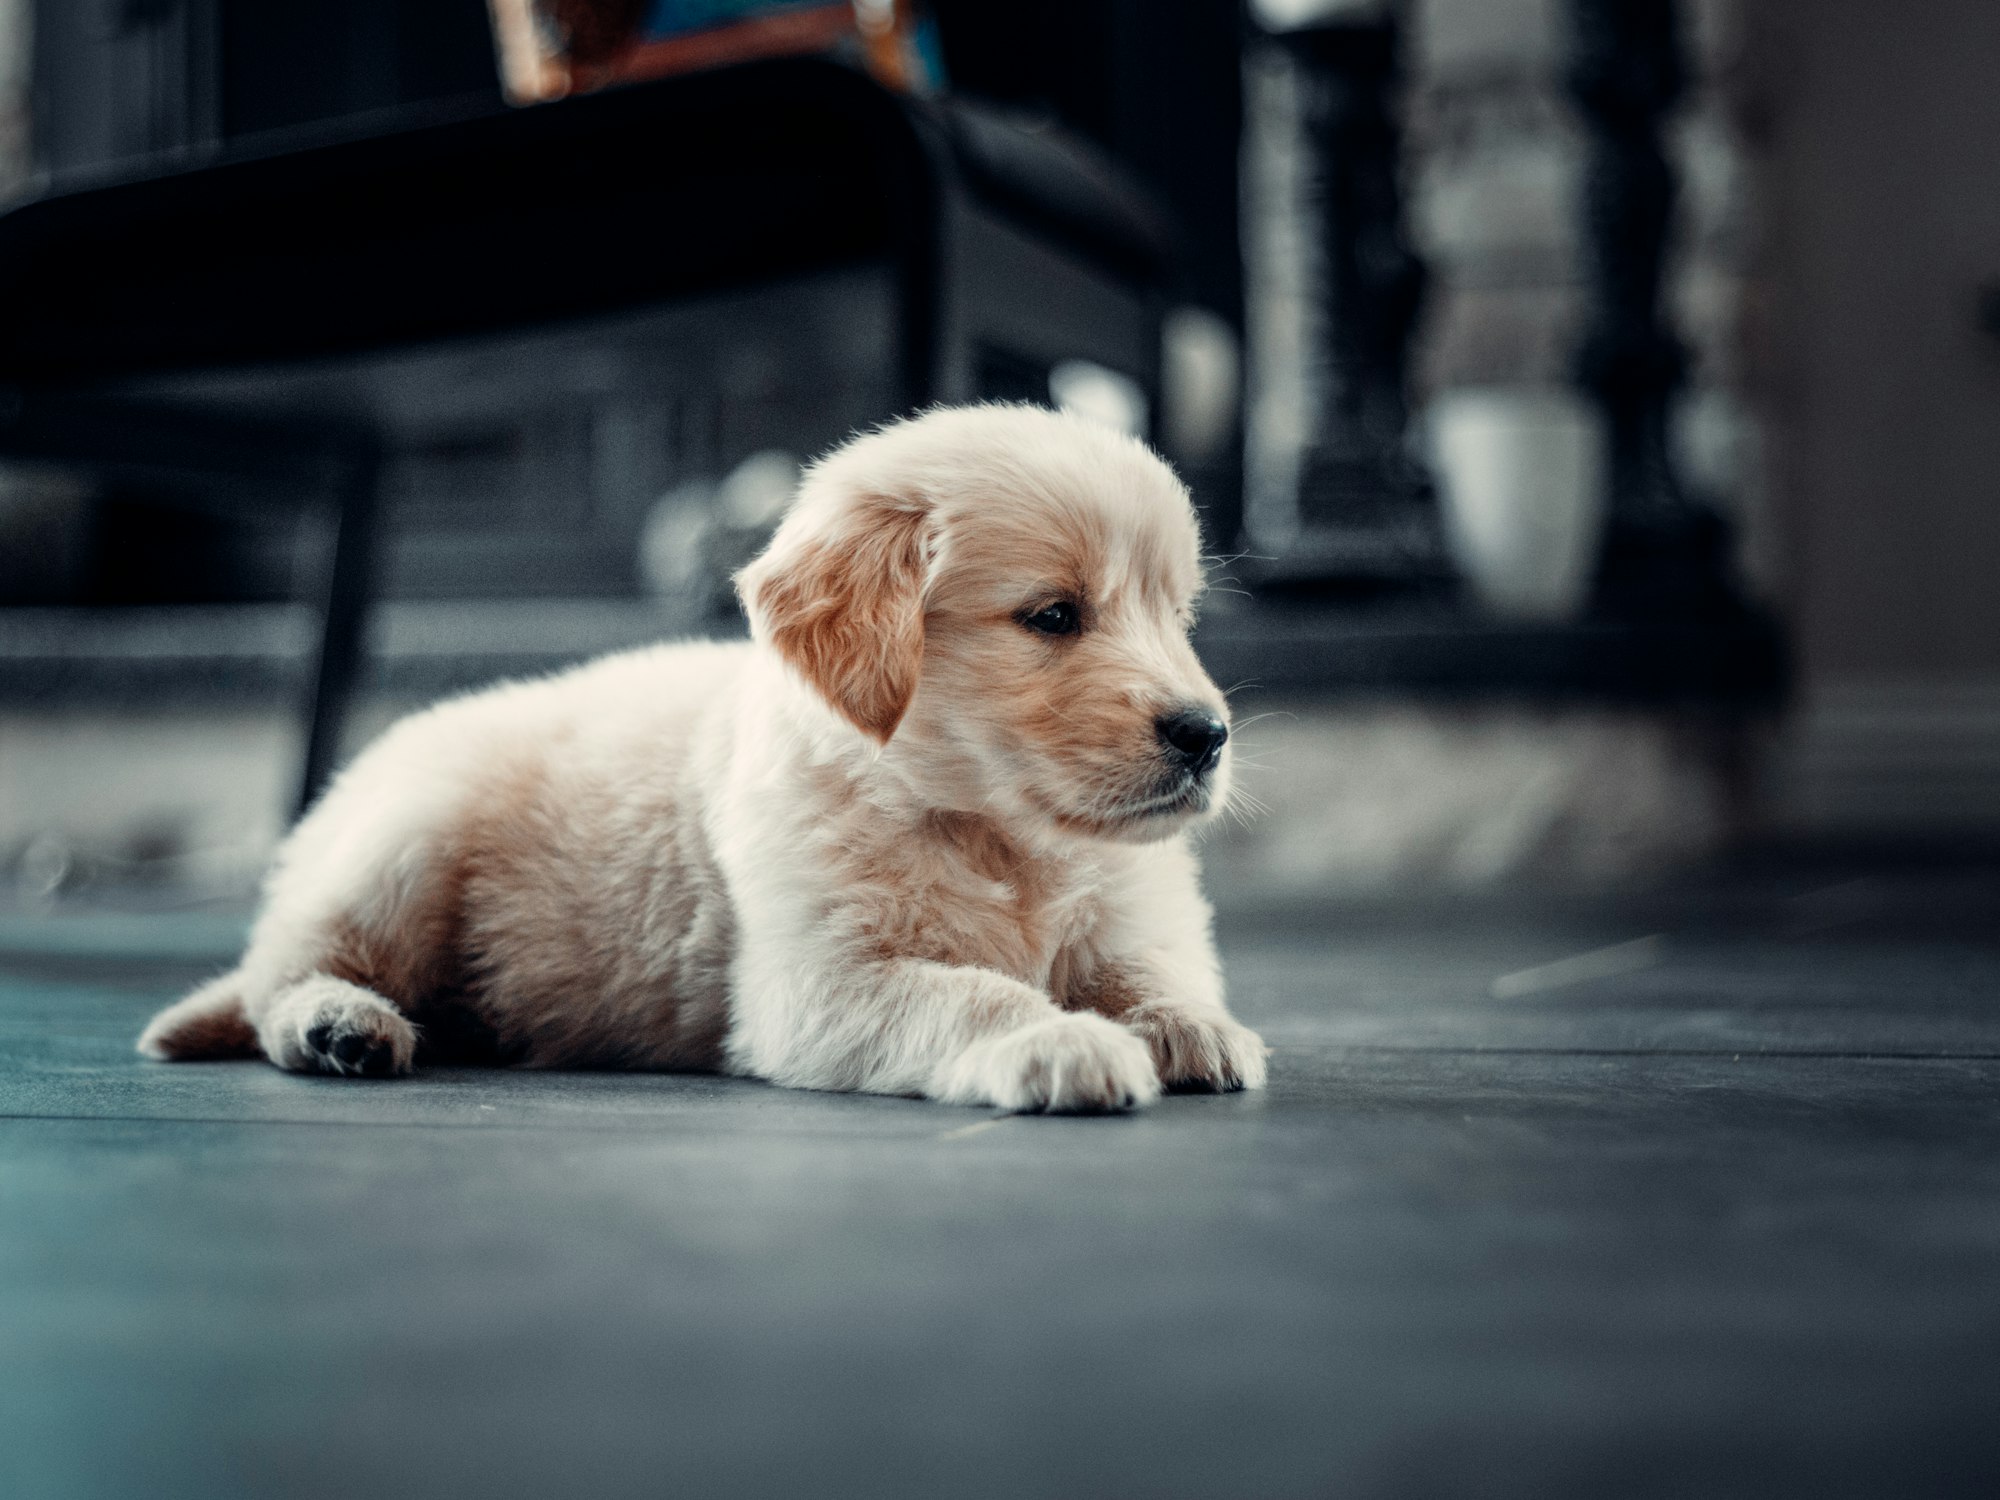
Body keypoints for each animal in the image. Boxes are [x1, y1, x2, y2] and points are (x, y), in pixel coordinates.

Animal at [141, 406, 1264, 1112]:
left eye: (1178, 618)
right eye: (1053, 616)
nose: (1204, 735)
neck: (990, 832)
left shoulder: (1128, 907)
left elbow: (1147, 966)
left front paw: (1190, 1025)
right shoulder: (818, 984)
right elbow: (971, 994)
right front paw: (1059, 1040)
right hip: (398, 848)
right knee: (279, 977)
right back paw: (338, 1024)